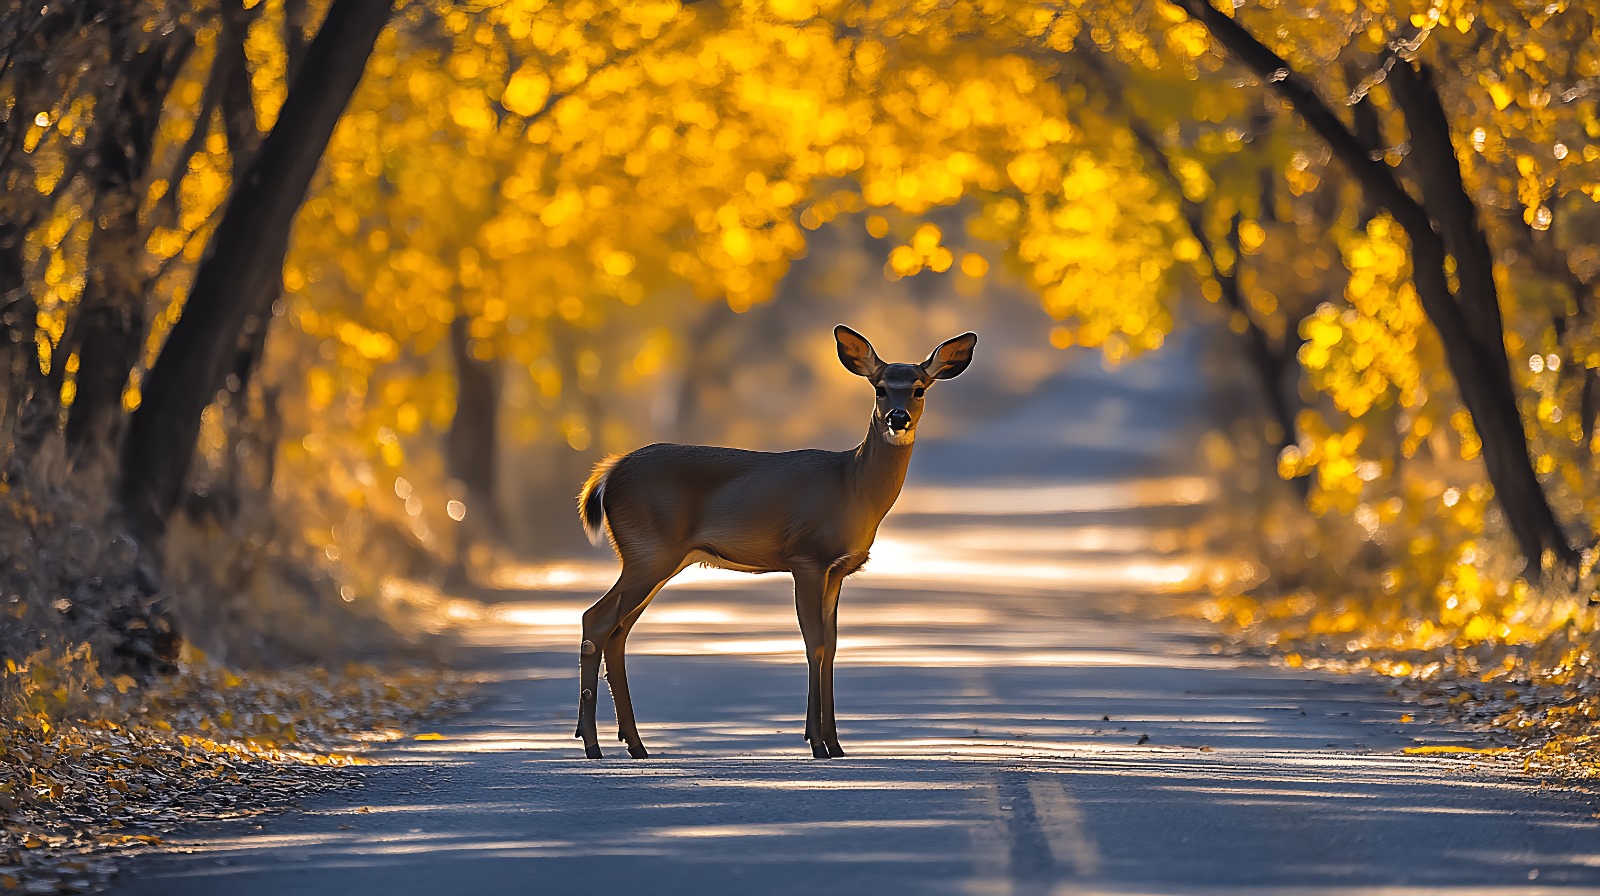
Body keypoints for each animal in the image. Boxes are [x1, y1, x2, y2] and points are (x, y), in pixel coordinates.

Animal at [576, 324, 972, 758]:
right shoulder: (807, 557)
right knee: (596, 620)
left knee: (617, 632)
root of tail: (608, 473)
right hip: (649, 551)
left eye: (919, 389)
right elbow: (815, 643)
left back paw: (635, 744)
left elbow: (833, 645)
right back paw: (592, 744)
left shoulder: (837, 570)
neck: (852, 485)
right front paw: (817, 743)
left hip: (657, 559)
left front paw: (836, 744)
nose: (897, 418)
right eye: (880, 388)